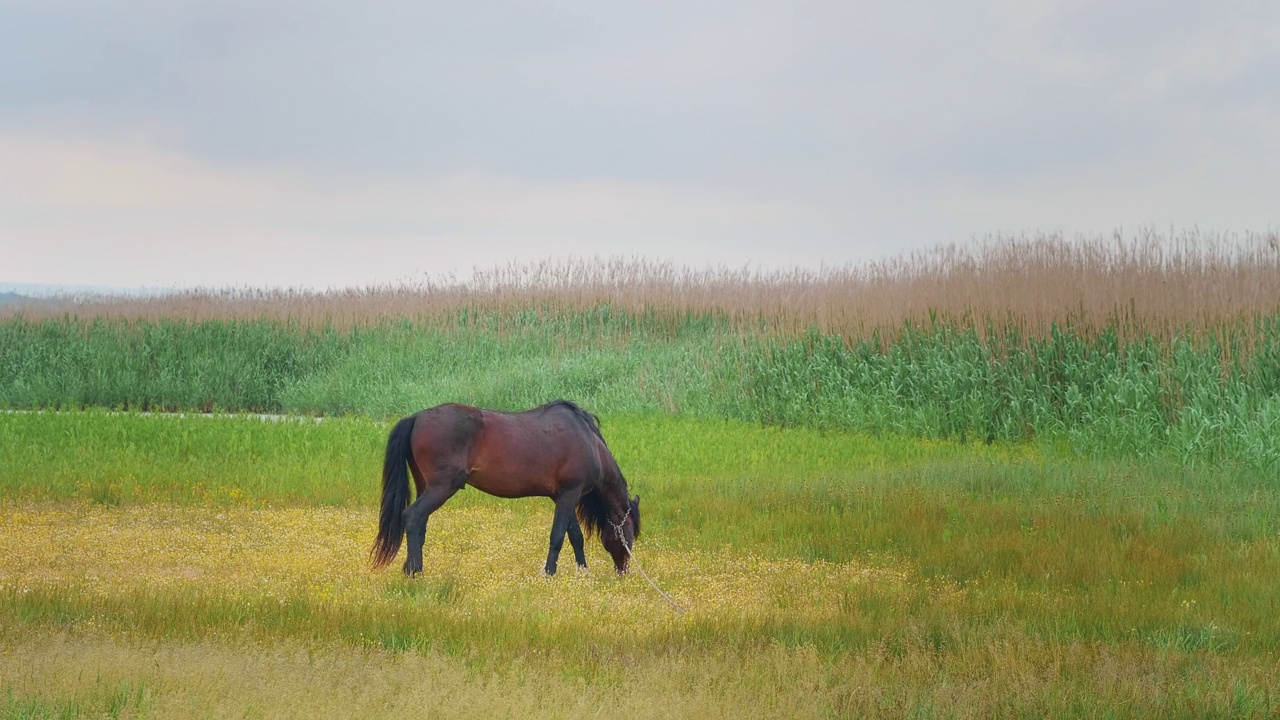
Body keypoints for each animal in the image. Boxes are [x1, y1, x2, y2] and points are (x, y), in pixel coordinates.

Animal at [371, 397, 640, 576]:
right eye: (630, 535)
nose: (623, 571)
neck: (588, 441)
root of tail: (416, 417)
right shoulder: (569, 495)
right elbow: (557, 536)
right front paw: (549, 574)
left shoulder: (562, 496)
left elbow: (575, 536)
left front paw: (583, 572)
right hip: (441, 487)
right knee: (413, 516)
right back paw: (414, 570)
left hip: (425, 486)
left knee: (419, 524)